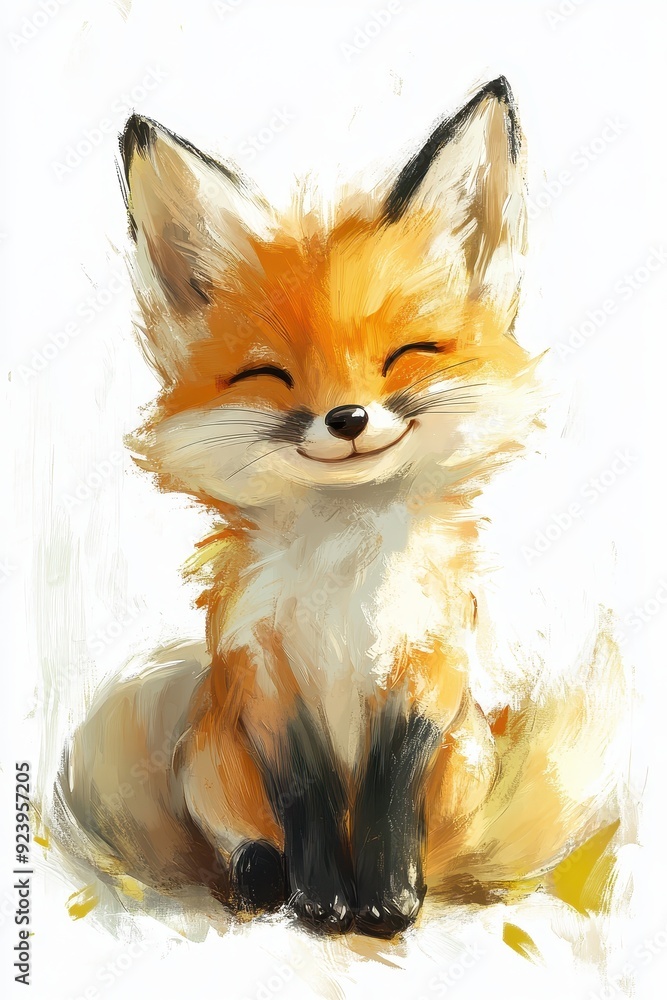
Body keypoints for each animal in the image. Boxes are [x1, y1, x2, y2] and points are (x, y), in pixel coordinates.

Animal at [52, 78, 625, 939]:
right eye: (271, 375)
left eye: (406, 355)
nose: (347, 418)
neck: (345, 578)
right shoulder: (266, 681)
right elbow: (307, 796)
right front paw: (322, 901)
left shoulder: (424, 668)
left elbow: (390, 793)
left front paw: (384, 902)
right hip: (210, 765)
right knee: (242, 837)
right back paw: (259, 879)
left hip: (464, 763)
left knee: (451, 846)